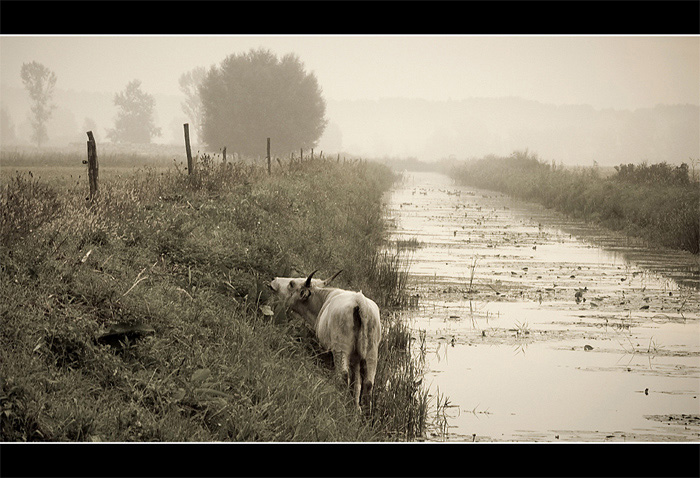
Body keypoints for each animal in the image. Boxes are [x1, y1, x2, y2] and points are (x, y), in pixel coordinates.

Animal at [270, 268, 382, 410]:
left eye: (291, 283)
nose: (274, 279)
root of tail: (359, 300)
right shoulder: (355, 359)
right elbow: (357, 384)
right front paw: (356, 409)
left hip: (340, 349)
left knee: (343, 375)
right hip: (372, 353)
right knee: (368, 383)